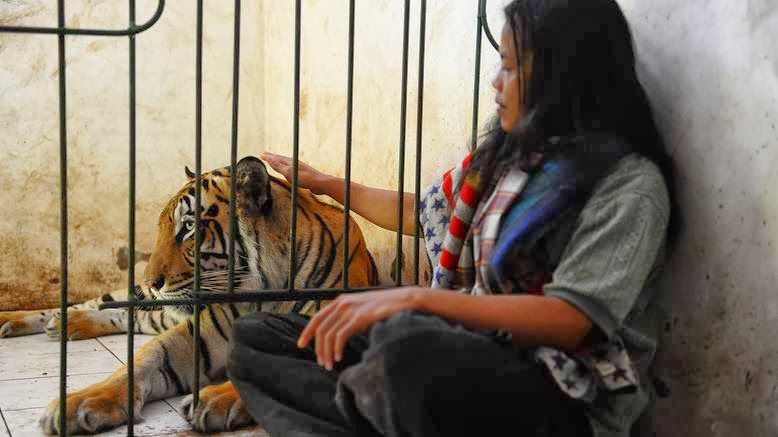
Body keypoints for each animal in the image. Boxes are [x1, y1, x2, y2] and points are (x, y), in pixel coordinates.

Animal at [0, 156, 378, 434]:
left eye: (189, 227)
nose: (153, 281)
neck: (264, 286)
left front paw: (215, 400)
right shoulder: (200, 331)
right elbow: (139, 362)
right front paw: (80, 403)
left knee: (121, 314)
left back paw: (69, 324)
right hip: (137, 298)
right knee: (102, 303)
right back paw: (30, 320)